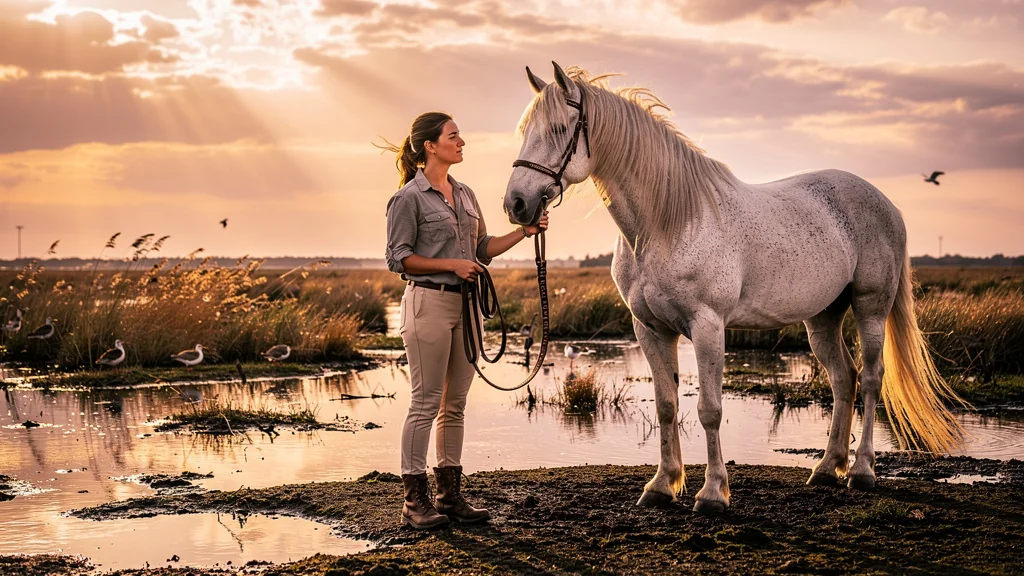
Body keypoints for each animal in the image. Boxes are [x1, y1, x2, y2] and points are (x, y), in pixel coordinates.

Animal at [503, 62, 966, 514]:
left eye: (560, 129)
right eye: (524, 129)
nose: (516, 204)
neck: (667, 223)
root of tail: (886, 204)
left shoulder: (707, 326)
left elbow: (709, 409)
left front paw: (712, 494)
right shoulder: (650, 329)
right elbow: (667, 405)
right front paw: (662, 486)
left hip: (871, 308)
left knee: (870, 379)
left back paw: (862, 472)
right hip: (823, 318)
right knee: (843, 379)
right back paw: (825, 468)